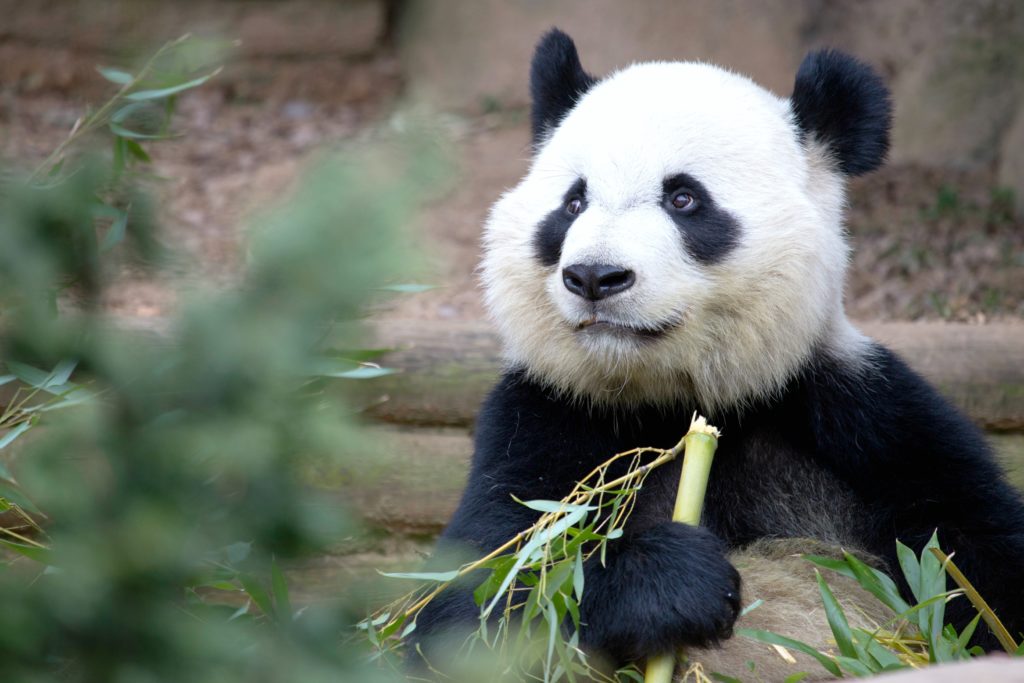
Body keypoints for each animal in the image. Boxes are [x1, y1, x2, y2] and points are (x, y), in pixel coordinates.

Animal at [411, 25, 1024, 679]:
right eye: (573, 203)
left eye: (682, 198)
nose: (595, 276)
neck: (682, 399)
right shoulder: (544, 422)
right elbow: (477, 602)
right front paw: (675, 581)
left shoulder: (865, 420)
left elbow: (977, 558)